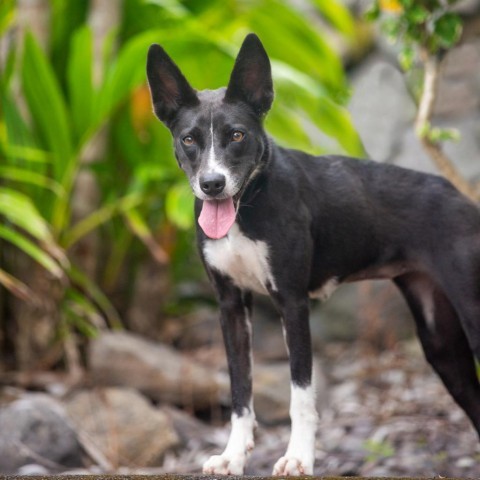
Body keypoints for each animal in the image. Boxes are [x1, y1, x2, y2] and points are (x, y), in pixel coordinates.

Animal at [145, 33, 480, 476]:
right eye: (188, 139)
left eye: (236, 135)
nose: (212, 184)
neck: (247, 209)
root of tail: (462, 198)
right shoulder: (230, 306)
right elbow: (239, 392)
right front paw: (233, 456)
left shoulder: (292, 302)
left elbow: (300, 395)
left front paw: (298, 457)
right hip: (440, 342)